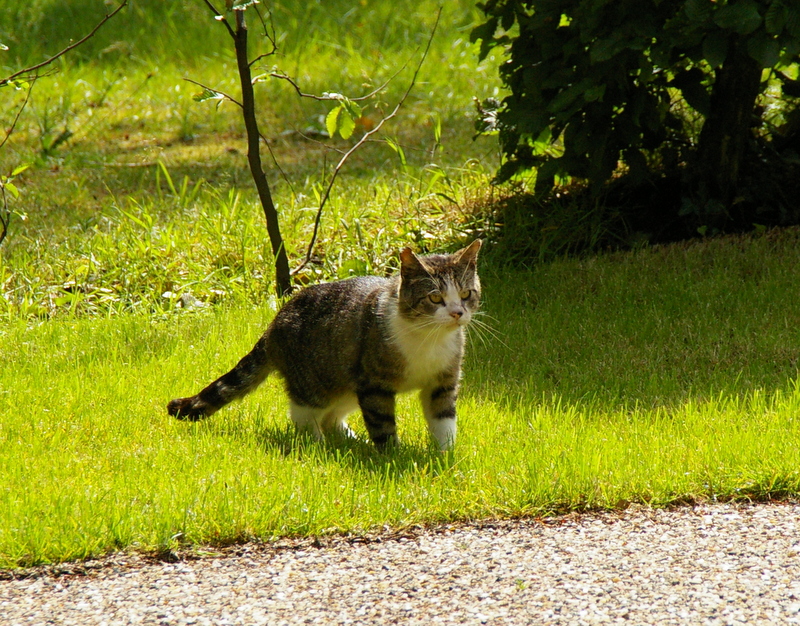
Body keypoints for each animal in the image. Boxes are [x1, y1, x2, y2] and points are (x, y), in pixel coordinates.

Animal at [167, 239, 482, 448]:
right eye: (435, 298)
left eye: (466, 294)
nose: (458, 313)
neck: (429, 339)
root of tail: (274, 323)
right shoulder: (374, 383)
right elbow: (381, 422)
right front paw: (393, 455)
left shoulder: (443, 381)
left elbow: (444, 419)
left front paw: (445, 454)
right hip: (316, 379)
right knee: (303, 413)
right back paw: (320, 444)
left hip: (344, 378)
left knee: (332, 415)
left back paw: (349, 439)